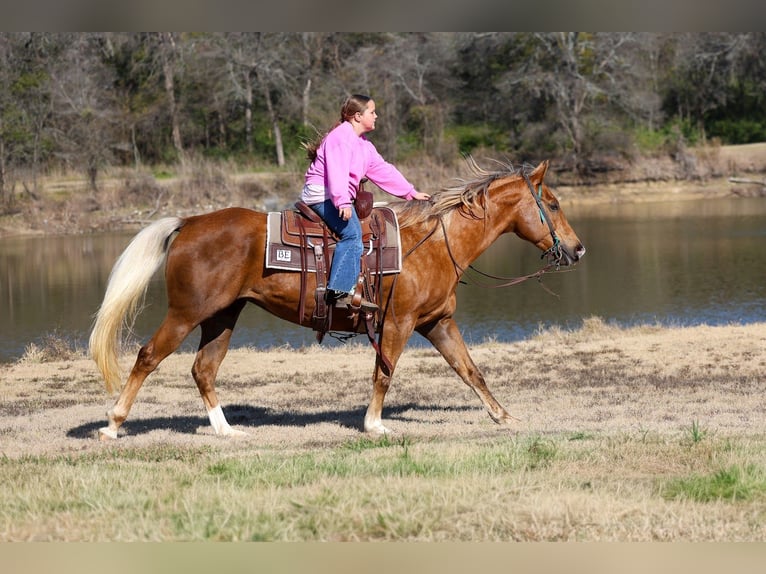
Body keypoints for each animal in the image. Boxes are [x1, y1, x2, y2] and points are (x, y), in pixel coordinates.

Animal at [89, 159, 585, 440]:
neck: (434, 243)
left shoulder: (437, 323)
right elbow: (384, 373)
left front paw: (503, 417)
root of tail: (189, 222)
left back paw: (226, 430)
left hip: (222, 315)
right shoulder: (398, 323)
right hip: (186, 312)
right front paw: (374, 424)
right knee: (148, 356)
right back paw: (112, 425)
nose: (578, 249)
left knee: (203, 369)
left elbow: (470, 371)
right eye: (553, 203)